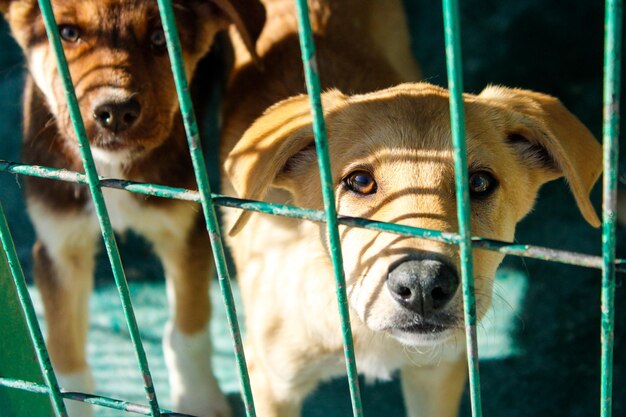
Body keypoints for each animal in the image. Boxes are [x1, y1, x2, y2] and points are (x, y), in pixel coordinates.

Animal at [0, 0, 264, 416]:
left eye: (159, 37)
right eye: (67, 33)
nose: (115, 110)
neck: (109, 170)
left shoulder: (186, 234)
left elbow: (188, 330)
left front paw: (198, 399)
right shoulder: (60, 248)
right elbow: (66, 358)